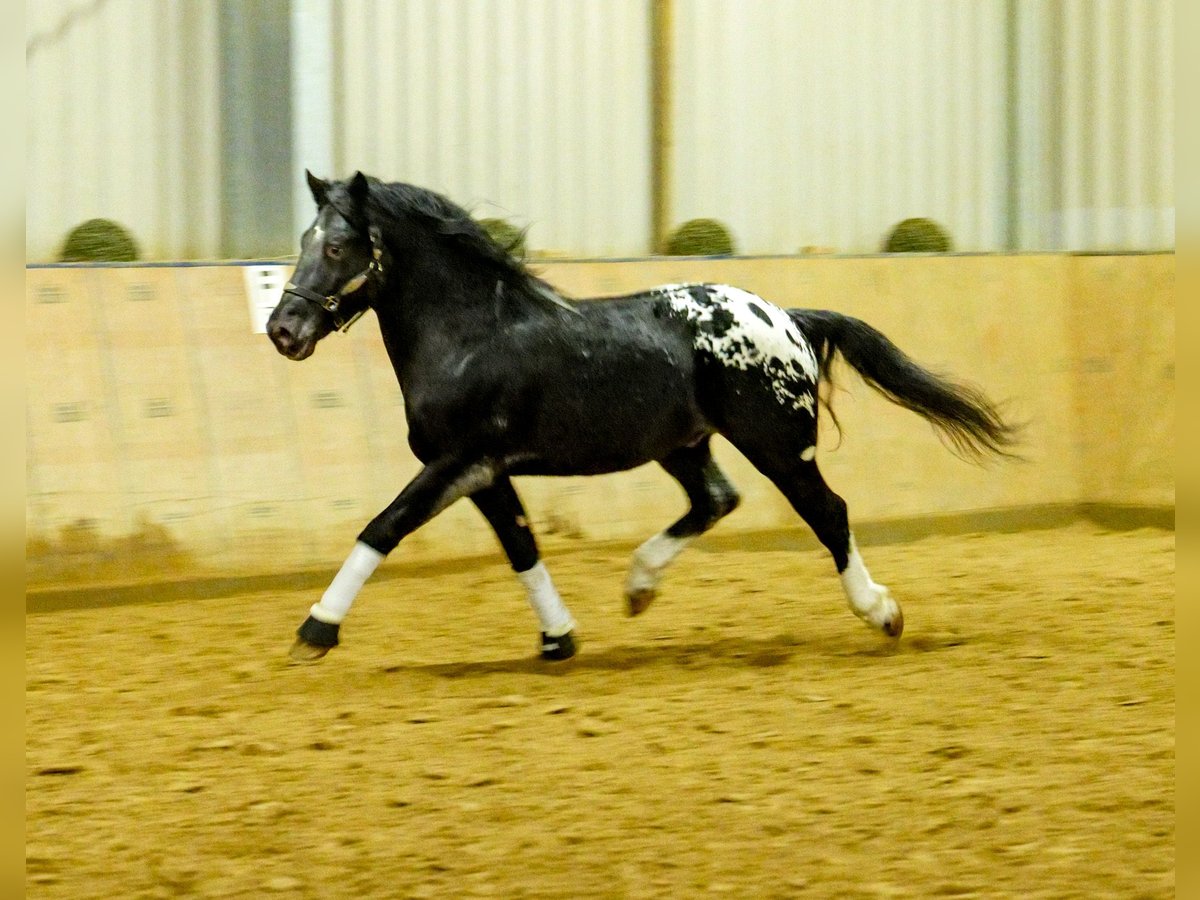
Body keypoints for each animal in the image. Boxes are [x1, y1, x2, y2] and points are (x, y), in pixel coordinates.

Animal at [267, 172, 1017, 662]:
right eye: (304, 238)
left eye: (335, 247)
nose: (283, 330)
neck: (471, 334)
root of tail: (790, 318)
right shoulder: (485, 472)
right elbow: (521, 547)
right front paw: (559, 639)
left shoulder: (460, 459)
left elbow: (383, 527)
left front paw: (315, 631)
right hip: (682, 443)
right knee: (715, 500)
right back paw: (638, 587)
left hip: (776, 443)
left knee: (828, 513)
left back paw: (881, 614)